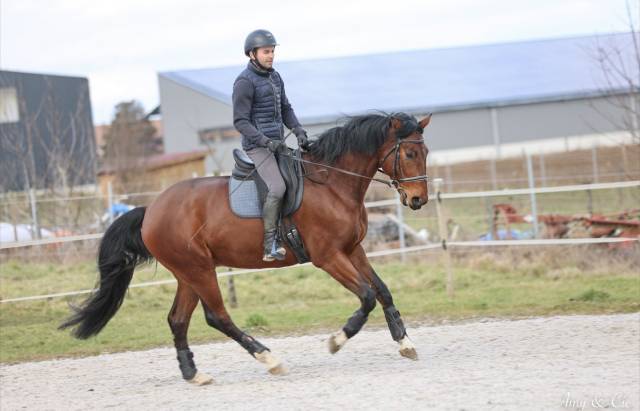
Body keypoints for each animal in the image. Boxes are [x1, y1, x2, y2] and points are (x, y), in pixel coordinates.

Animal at [60, 112, 431, 385]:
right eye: (410, 153)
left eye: (425, 153)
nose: (418, 200)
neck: (332, 183)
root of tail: (150, 210)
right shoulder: (328, 257)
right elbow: (366, 297)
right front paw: (336, 340)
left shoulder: (353, 250)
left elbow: (382, 290)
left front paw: (406, 343)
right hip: (199, 269)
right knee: (217, 316)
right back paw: (269, 359)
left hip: (188, 273)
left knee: (178, 320)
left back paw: (194, 374)